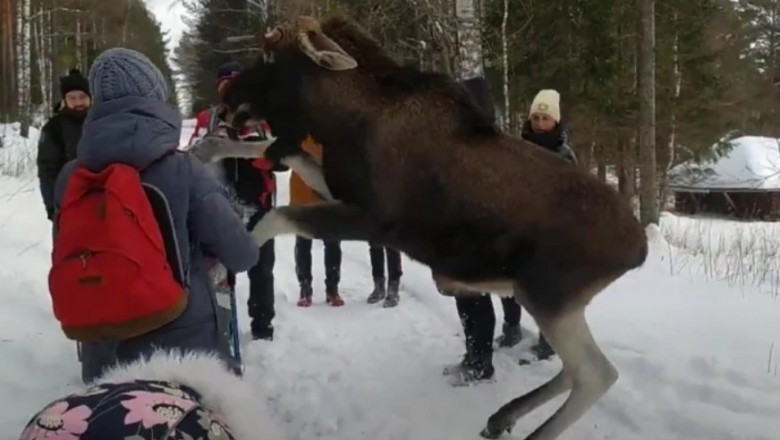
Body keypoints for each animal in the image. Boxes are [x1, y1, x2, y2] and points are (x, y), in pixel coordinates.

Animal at [212, 13, 644, 440]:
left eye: (271, 54)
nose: (226, 97)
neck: (341, 121)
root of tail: (638, 251)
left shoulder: (375, 221)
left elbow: (274, 216)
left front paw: (222, 269)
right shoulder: (337, 188)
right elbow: (277, 151)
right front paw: (209, 148)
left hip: (548, 298)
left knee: (595, 373)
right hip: (554, 303)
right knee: (574, 371)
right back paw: (502, 417)